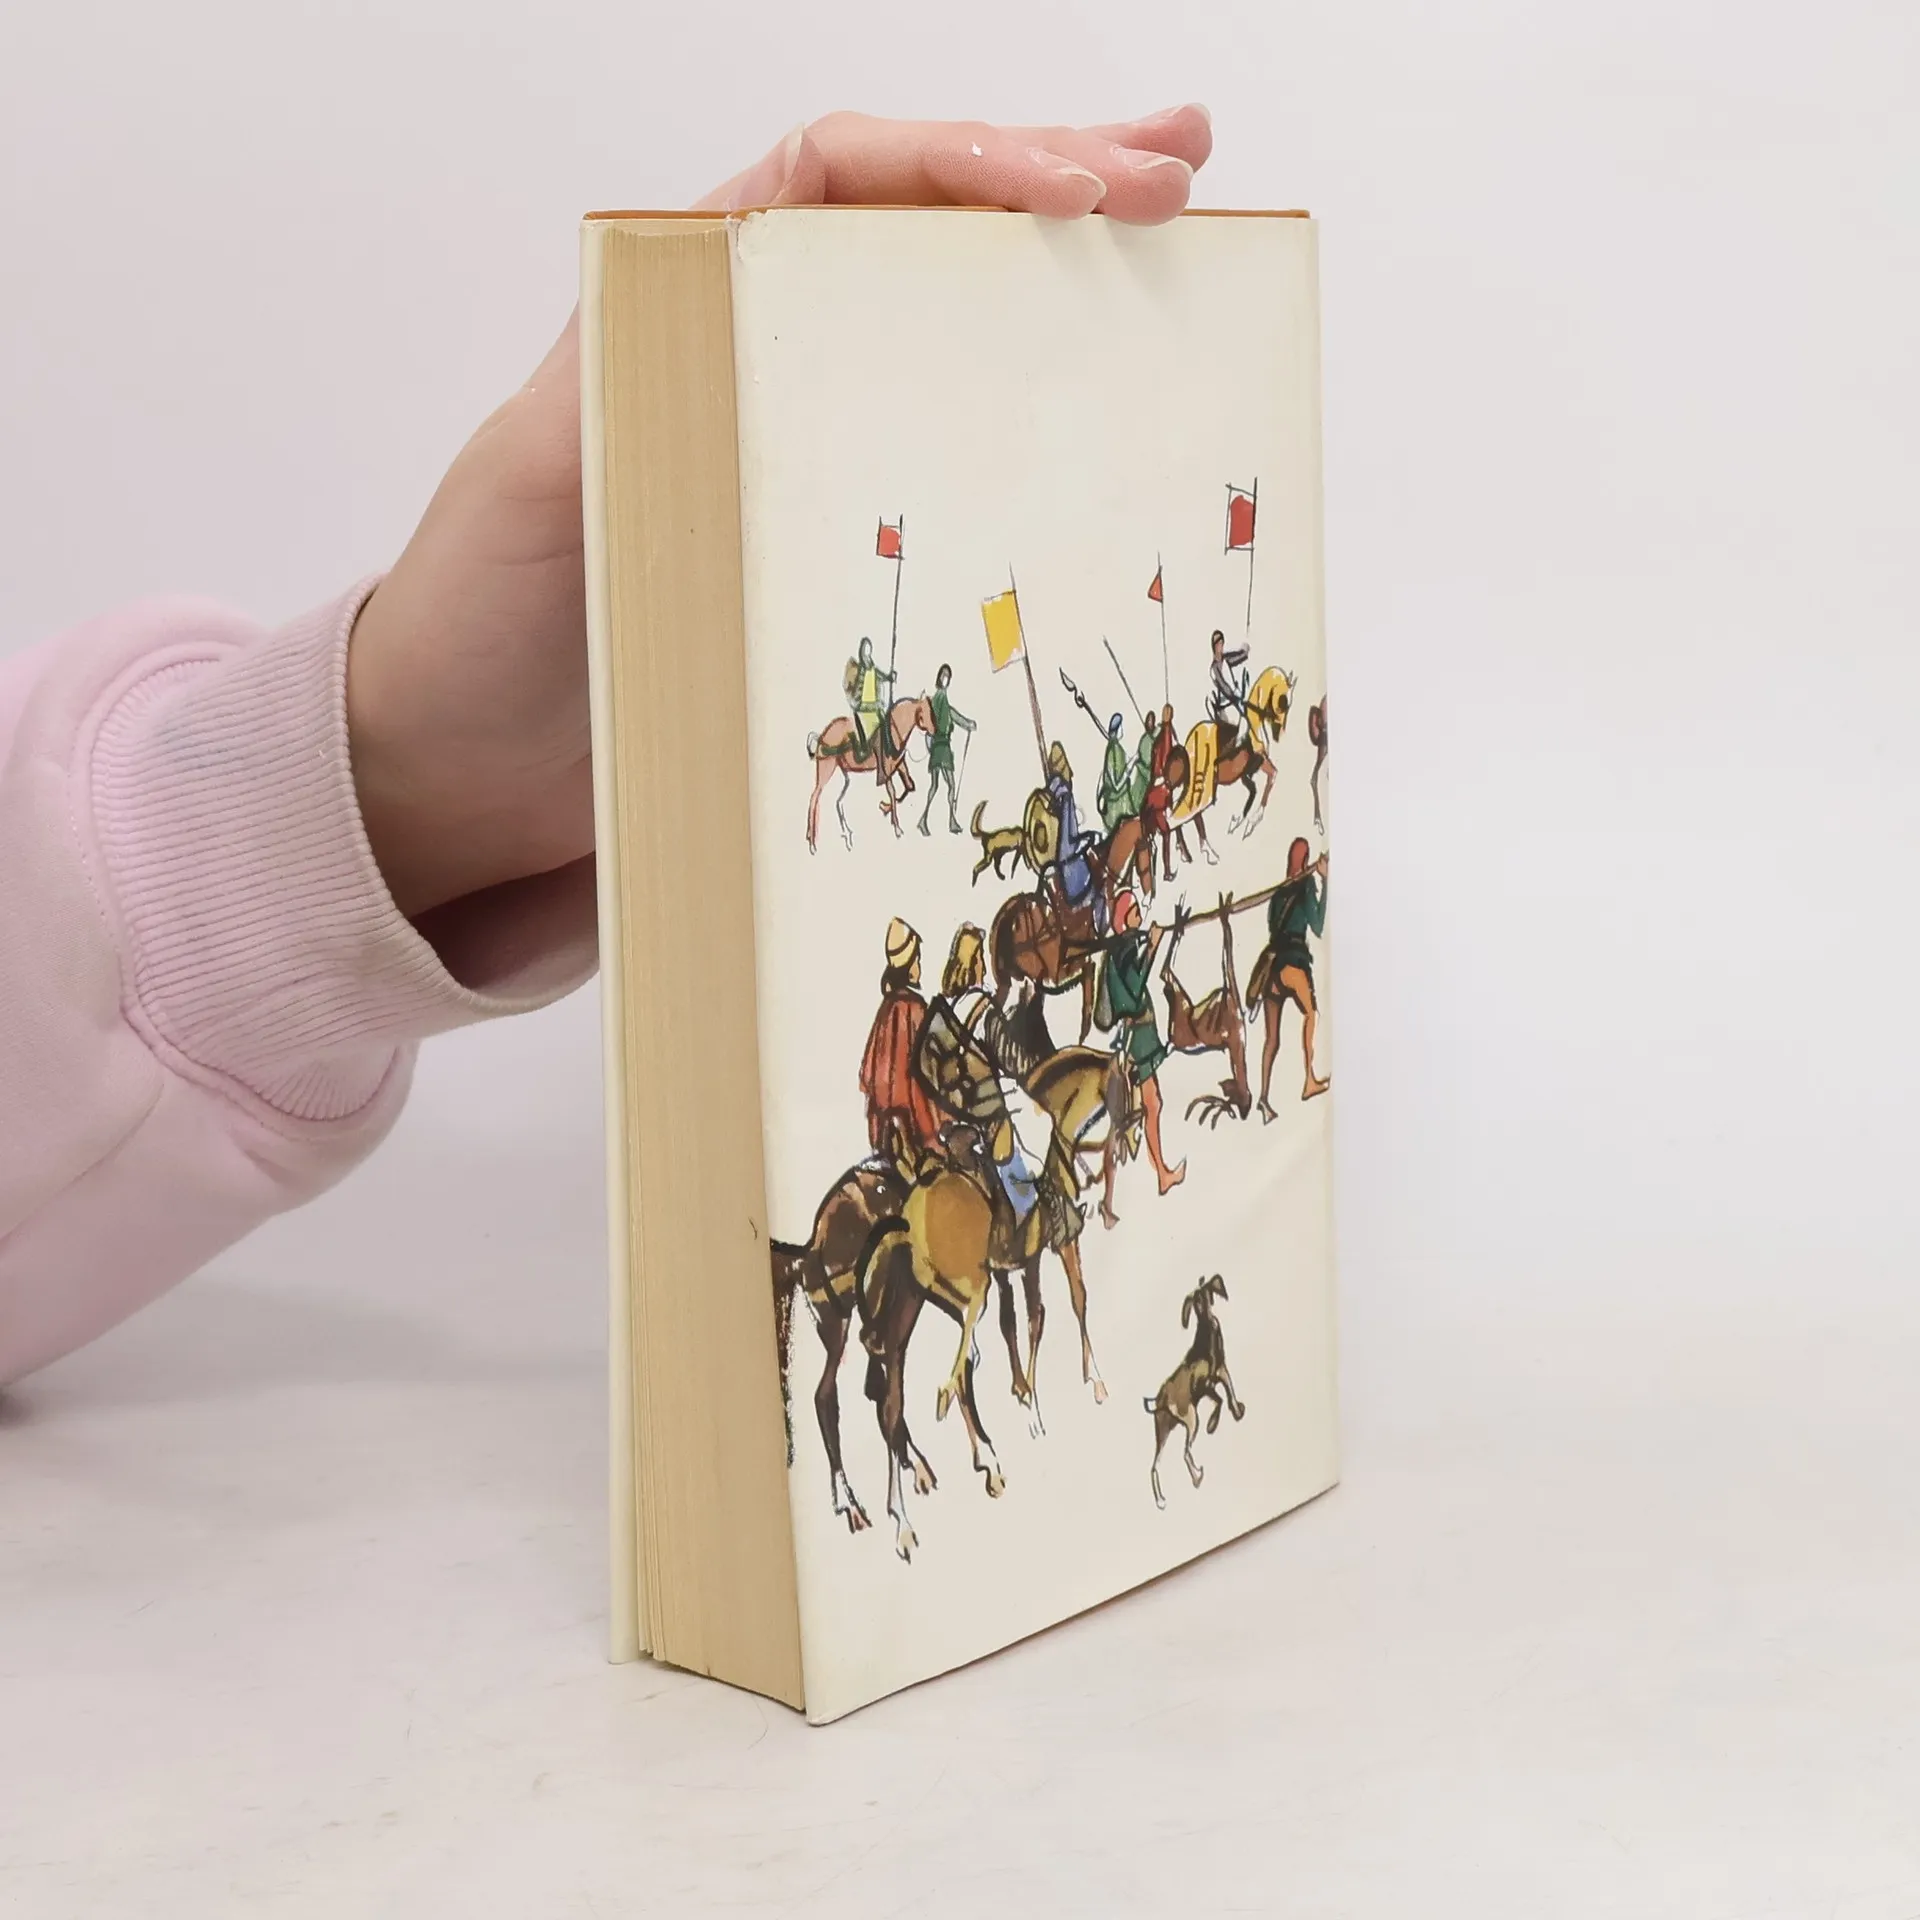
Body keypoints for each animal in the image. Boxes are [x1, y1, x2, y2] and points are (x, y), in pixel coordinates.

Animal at [804, 695, 934, 852]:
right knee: (815, 796)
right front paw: (896, 827)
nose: (934, 731)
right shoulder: (885, 769)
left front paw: (886, 808)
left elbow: (909, 786)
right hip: (826, 768)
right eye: (923, 713)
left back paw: (844, 835)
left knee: (838, 800)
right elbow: (892, 791)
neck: (893, 730)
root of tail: (823, 735)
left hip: (844, 774)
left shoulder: (899, 765)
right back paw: (812, 843)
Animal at [1145, 1276, 1245, 1508]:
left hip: (1163, 1430)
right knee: (1185, 1452)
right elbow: (1220, 1400)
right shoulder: (1207, 1385)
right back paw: (1197, 1478)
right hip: (1190, 1419)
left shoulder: (1222, 1372)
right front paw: (1212, 1425)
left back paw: (1161, 1500)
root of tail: (1161, 1400)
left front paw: (1238, 1412)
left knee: (1155, 1466)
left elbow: (1230, 1393)